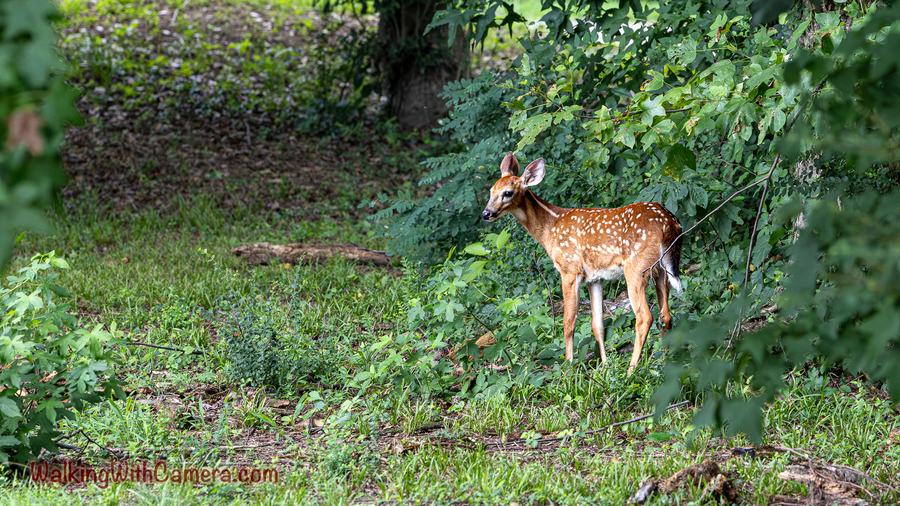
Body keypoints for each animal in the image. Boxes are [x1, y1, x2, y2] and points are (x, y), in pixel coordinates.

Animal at [481, 152, 683, 375]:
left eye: (507, 193)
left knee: (644, 317)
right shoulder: (595, 278)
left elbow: (568, 322)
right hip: (662, 269)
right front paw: (604, 367)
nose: (486, 213)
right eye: (491, 190)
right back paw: (664, 364)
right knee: (666, 315)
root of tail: (669, 225)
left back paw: (631, 371)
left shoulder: (569, 269)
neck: (549, 228)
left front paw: (568, 368)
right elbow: (597, 324)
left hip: (636, 268)